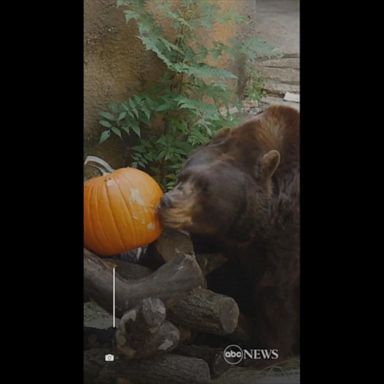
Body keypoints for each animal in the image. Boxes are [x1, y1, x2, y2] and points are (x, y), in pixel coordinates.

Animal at [157, 104, 300, 360]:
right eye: (184, 175)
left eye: (205, 187)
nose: (167, 202)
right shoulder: (219, 242)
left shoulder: (285, 239)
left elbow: (277, 293)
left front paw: (272, 348)